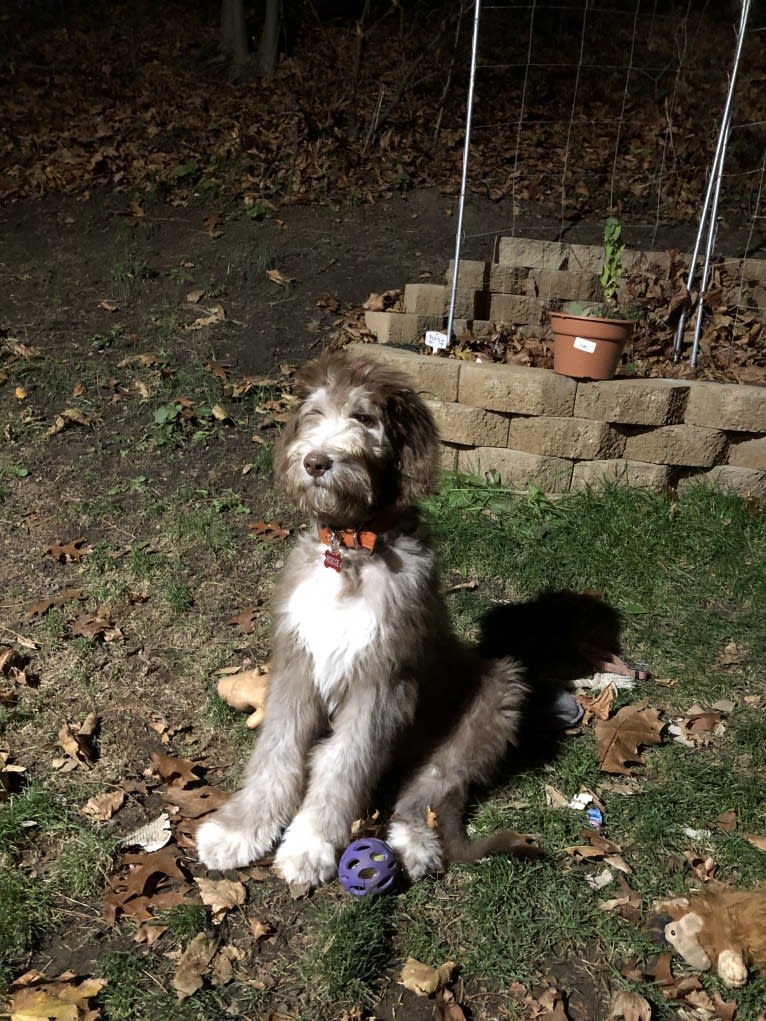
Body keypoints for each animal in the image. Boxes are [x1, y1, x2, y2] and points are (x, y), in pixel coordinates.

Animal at [198, 349, 547, 886]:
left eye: (364, 418)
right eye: (315, 415)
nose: (316, 461)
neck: (349, 551)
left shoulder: (382, 681)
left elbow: (343, 763)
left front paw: (309, 844)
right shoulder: (296, 661)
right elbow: (276, 750)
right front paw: (241, 830)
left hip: (497, 693)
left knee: (428, 789)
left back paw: (413, 843)